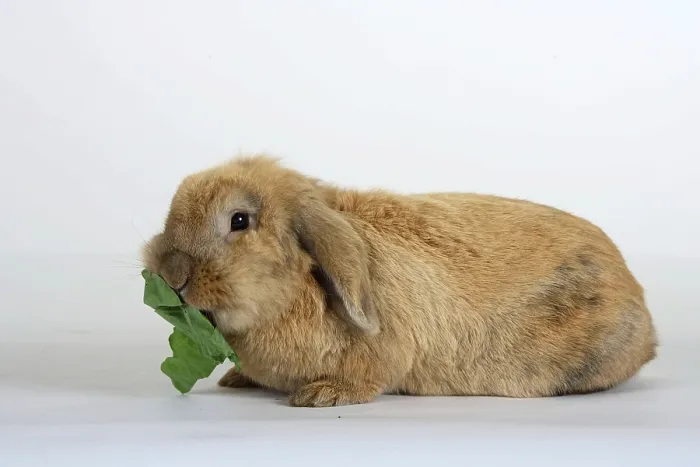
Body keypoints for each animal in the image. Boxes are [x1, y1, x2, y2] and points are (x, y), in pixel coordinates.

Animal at [142, 155, 658, 407]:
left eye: (240, 220)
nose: (171, 274)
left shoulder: (386, 355)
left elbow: (371, 377)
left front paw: (320, 397)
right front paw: (237, 379)